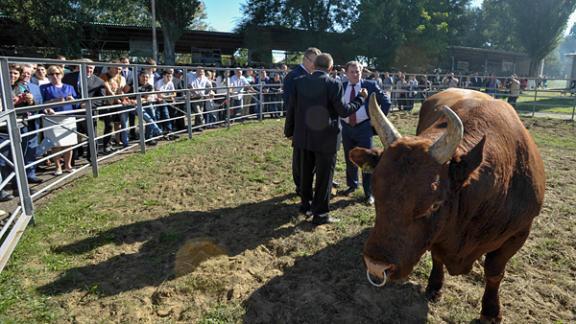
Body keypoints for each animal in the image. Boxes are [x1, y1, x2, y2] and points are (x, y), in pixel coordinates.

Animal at [352, 87, 544, 322]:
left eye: (434, 205)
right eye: (377, 194)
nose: (376, 266)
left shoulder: (518, 234)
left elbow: (494, 272)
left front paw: (491, 310)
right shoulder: (437, 236)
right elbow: (437, 257)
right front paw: (435, 286)